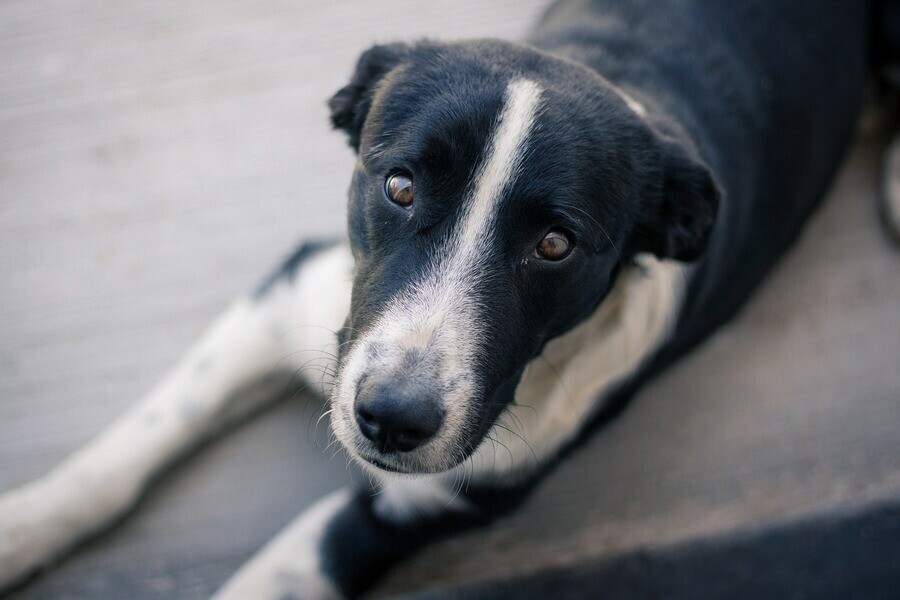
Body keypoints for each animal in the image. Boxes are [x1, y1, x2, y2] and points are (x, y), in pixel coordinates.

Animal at [0, 0, 896, 596]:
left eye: (555, 244)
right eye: (398, 185)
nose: (392, 420)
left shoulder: (414, 507)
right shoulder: (286, 299)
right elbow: (128, 451)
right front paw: (19, 530)